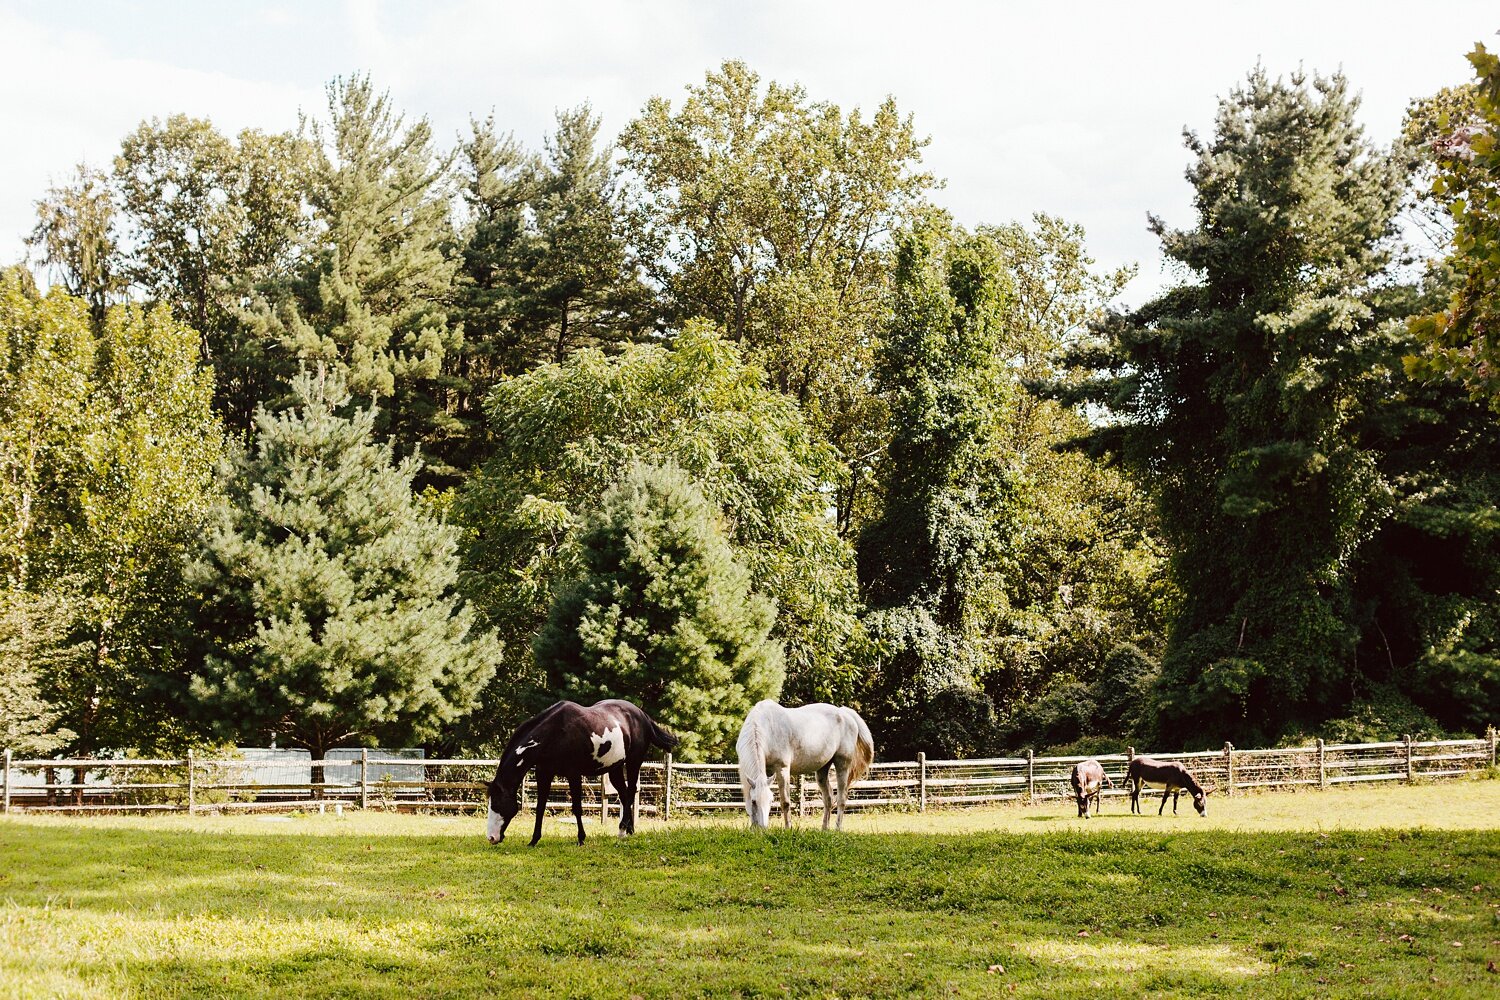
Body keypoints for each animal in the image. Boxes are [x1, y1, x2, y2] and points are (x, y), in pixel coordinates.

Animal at [483, 701, 678, 851]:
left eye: (497, 802)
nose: (491, 838)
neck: (554, 733)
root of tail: (642, 715)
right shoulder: (544, 773)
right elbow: (540, 808)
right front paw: (534, 840)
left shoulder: (573, 774)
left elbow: (577, 807)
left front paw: (581, 838)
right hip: (614, 768)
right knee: (624, 794)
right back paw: (629, 831)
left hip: (633, 763)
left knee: (630, 793)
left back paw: (622, 830)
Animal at [732, 701, 876, 833]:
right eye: (755, 801)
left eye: (771, 800)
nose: (762, 828)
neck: (766, 727)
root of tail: (845, 713)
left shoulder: (782, 769)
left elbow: (785, 802)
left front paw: (788, 828)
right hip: (823, 770)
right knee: (828, 798)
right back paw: (824, 829)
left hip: (842, 765)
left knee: (841, 798)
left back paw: (838, 828)